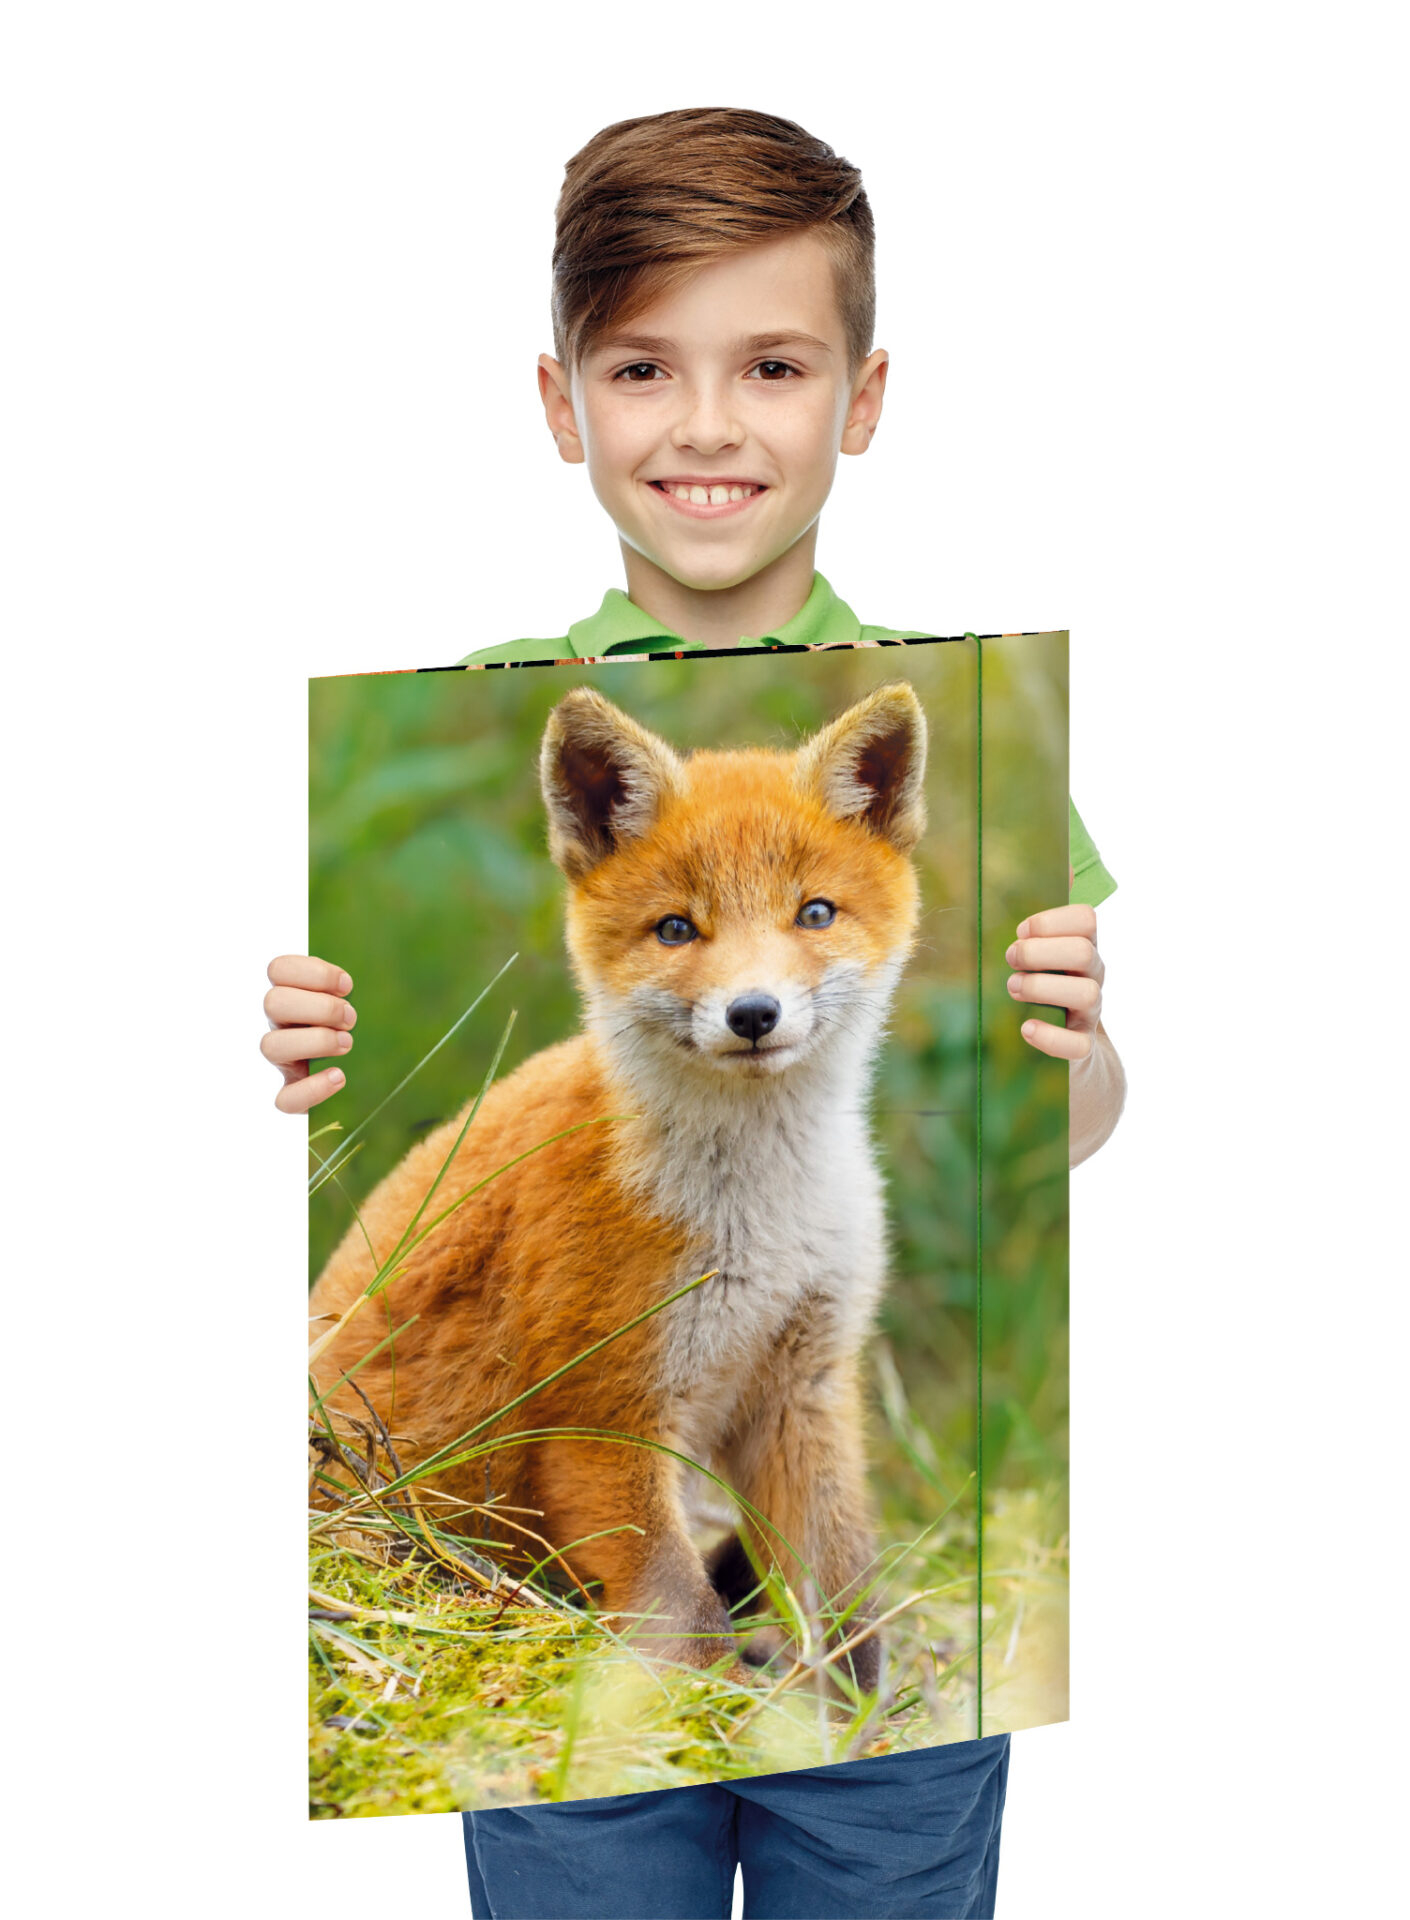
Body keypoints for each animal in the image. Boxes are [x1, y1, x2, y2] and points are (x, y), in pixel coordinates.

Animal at [308, 678, 929, 1692]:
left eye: (815, 913)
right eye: (677, 928)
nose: (753, 1014)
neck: (763, 1220)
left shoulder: (804, 1383)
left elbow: (843, 1603)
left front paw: (852, 1716)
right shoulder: (603, 1410)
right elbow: (687, 1615)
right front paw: (697, 1715)